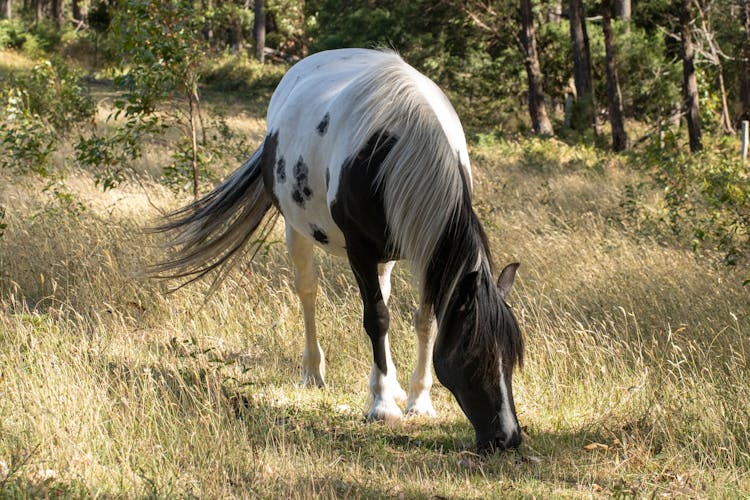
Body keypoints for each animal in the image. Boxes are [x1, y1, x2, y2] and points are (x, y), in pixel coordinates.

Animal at [153, 48, 524, 452]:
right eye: (474, 357)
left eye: (512, 357)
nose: (507, 438)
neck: (396, 149)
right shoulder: (359, 251)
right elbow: (376, 319)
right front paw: (382, 406)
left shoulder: (426, 255)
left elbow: (426, 322)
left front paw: (418, 401)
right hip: (297, 229)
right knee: (308, 291)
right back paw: (314, 373)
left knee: (384, 295)